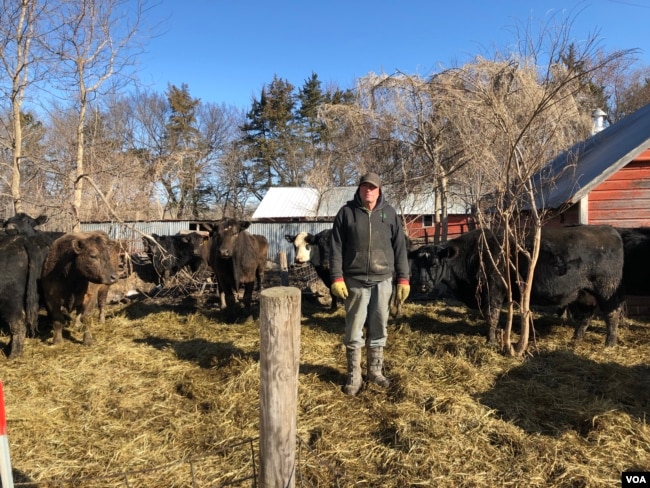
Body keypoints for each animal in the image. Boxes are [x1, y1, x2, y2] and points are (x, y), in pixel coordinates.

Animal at [410, 226, 624, 346]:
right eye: (417, 264)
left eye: (434, 264)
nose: (422, 286)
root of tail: (609, 230)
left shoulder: (493, 292)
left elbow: (492, 316)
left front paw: (490, 340)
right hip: (584, 293)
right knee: (586, 316)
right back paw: (575, 339)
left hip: (606, 289)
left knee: (612, 315)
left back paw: (610, 343)